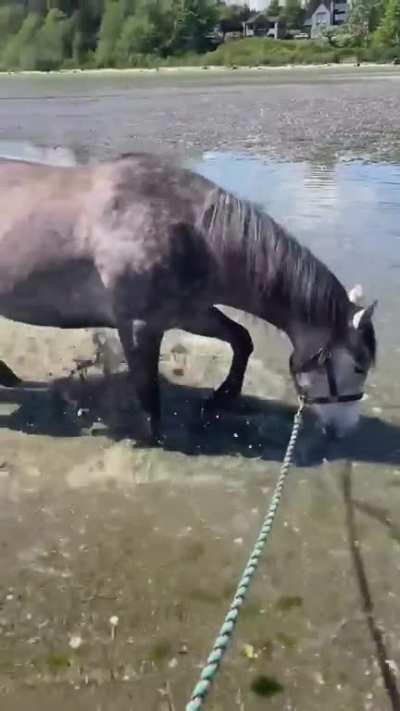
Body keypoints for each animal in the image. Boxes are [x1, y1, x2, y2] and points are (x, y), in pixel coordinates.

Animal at [0, 152, 377, 442]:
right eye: (358, 367)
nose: (346, 429)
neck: (190, 230)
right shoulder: (139, 324)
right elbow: (148, 388)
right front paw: (152, 437)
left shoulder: (190, 312)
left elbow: (241, 339)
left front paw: (224, 396)